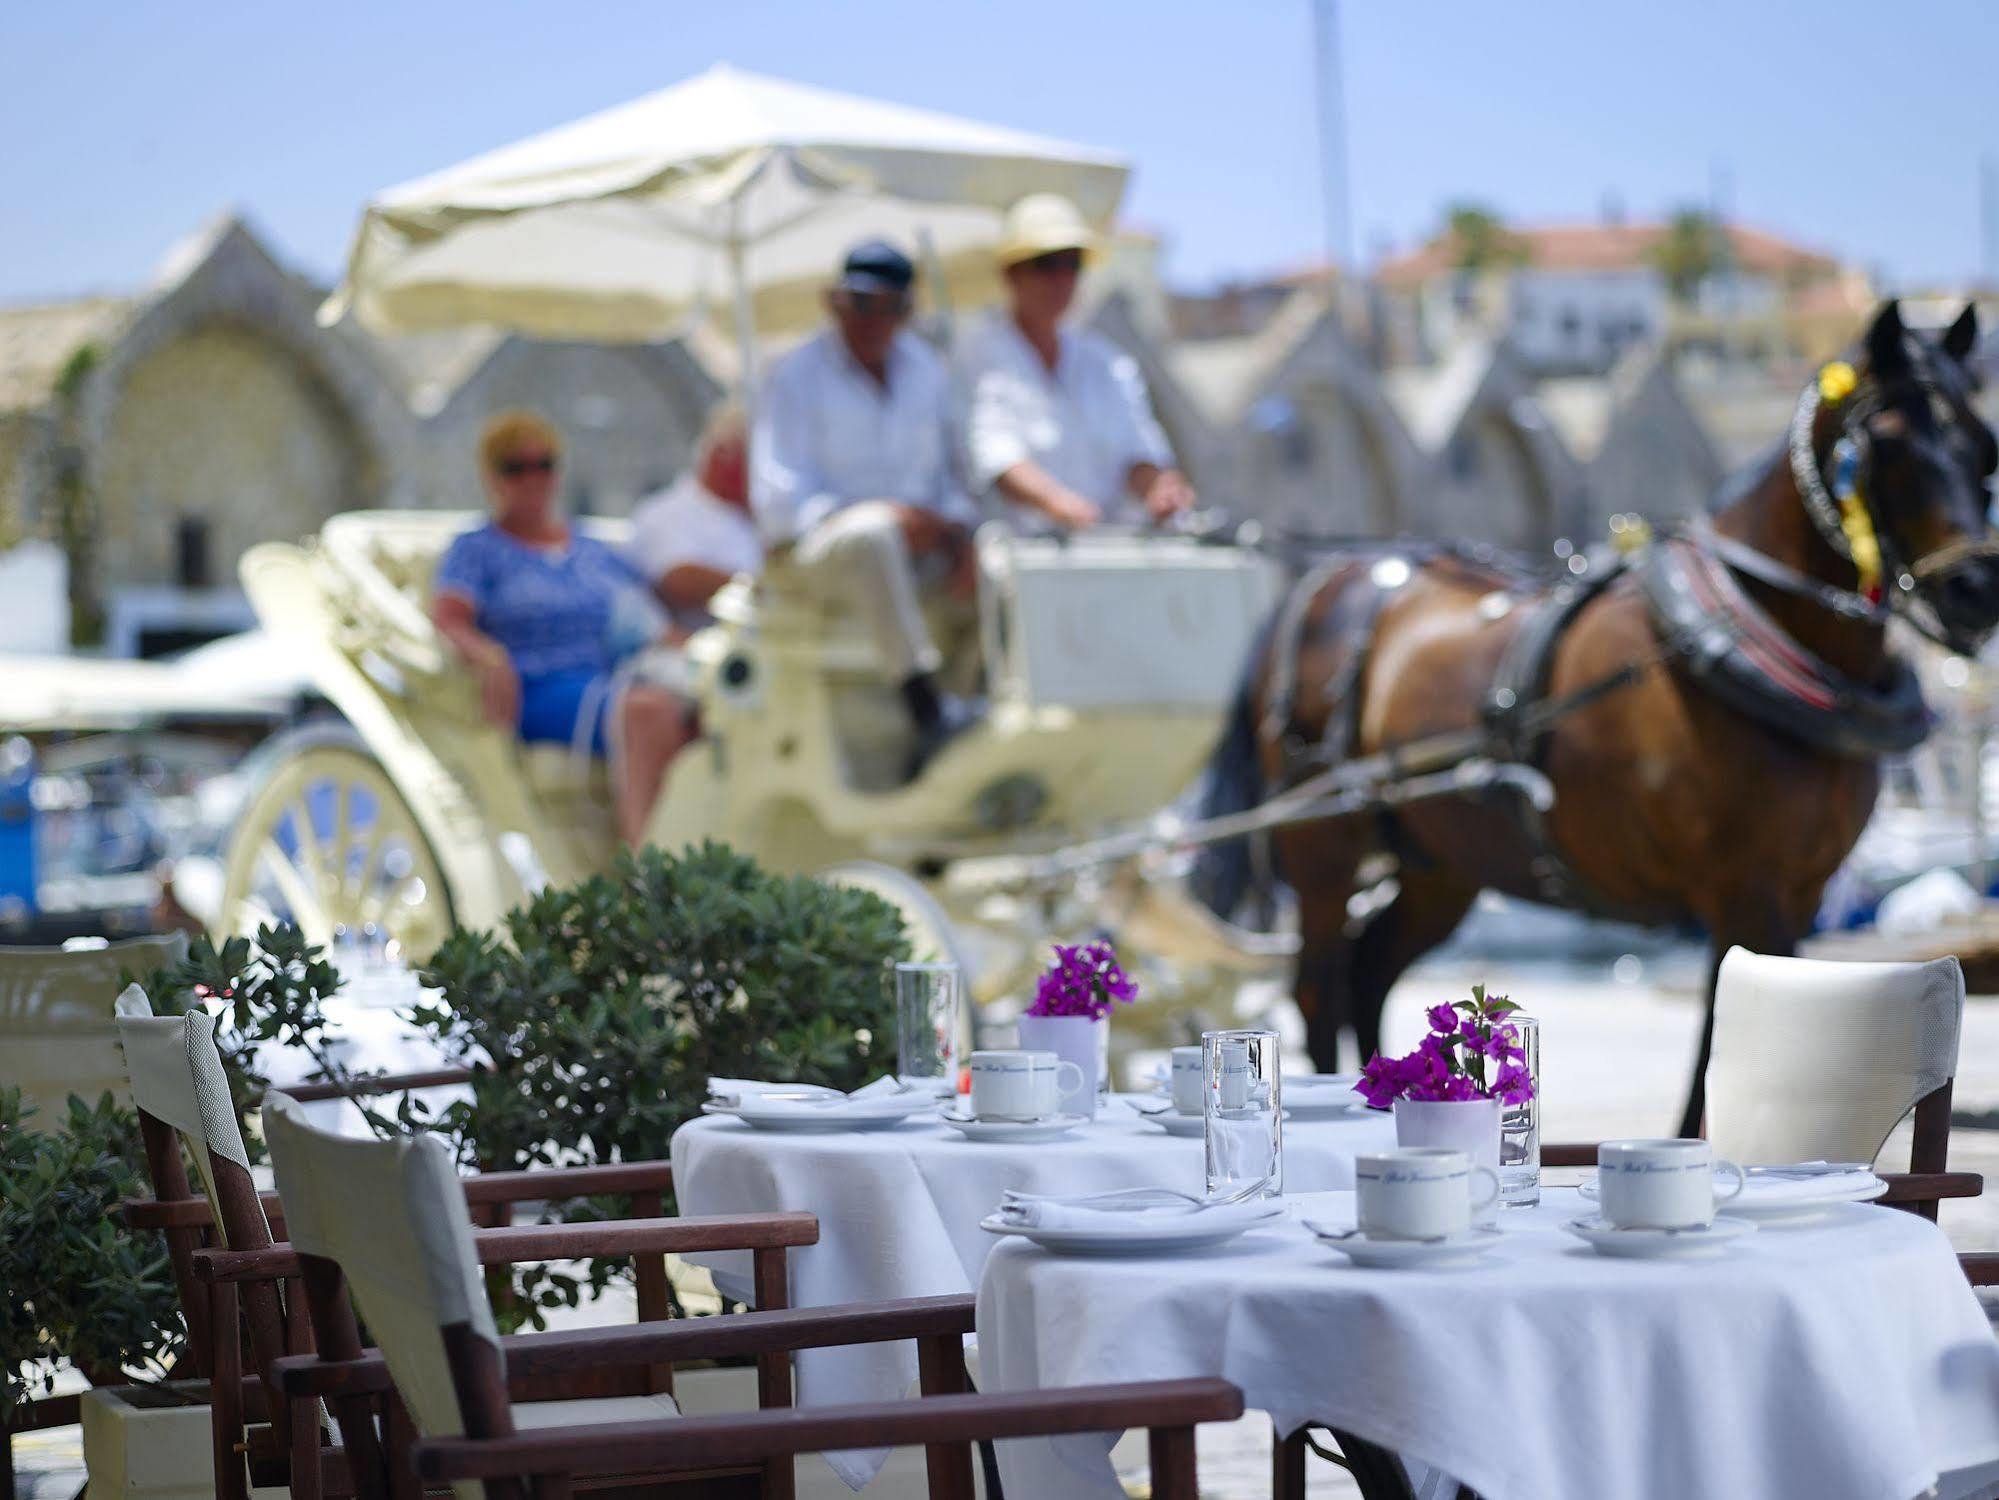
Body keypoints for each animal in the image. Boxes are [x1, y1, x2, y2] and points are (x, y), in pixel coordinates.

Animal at [1191, 302, 1999, 1136]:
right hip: (1322, 845)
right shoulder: (1744, 890)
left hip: (1441, 862)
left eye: (1983, 446)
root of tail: (1330, 578)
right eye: (1887, 442)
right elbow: (1718, 1041)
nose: (1976, 588)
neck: (1750, 634)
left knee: (1368, 970)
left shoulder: (1801, 891)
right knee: (1317, 986)